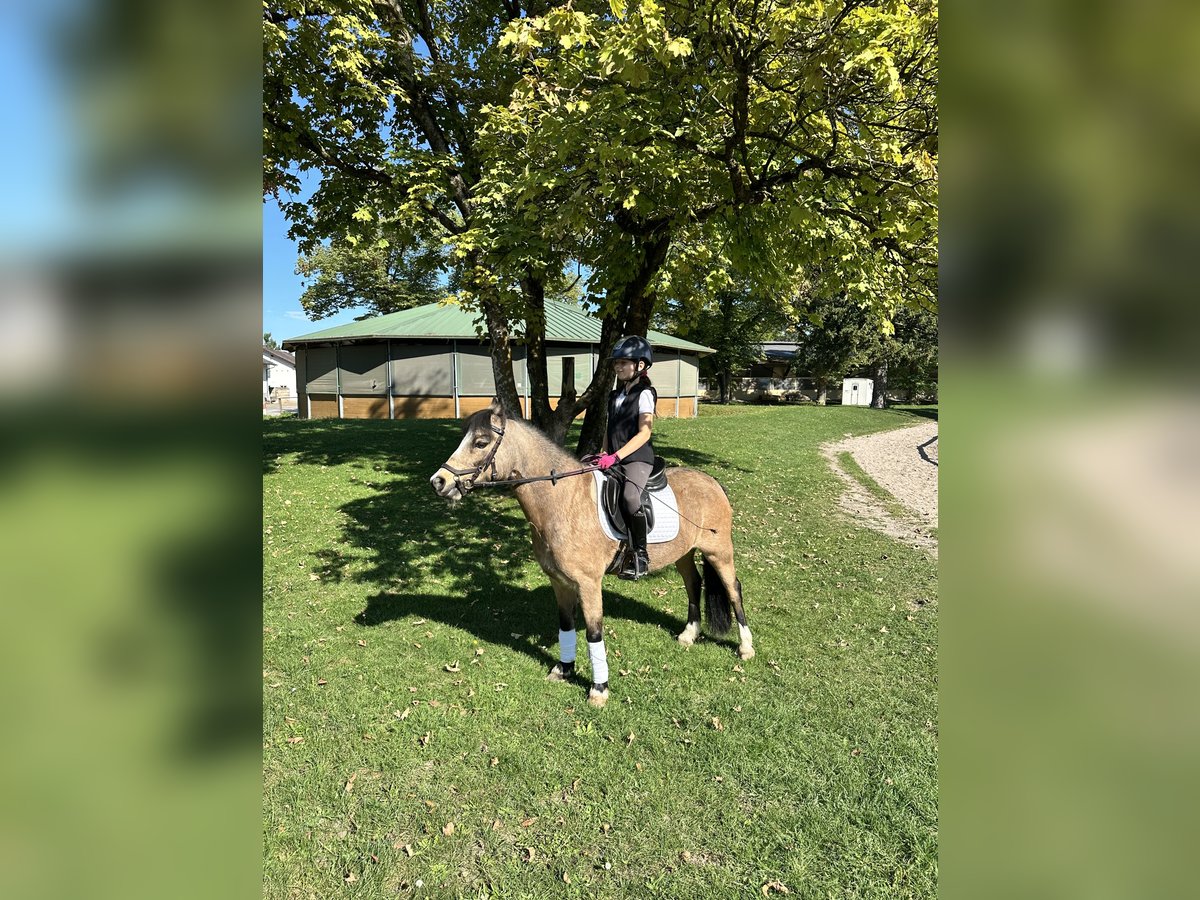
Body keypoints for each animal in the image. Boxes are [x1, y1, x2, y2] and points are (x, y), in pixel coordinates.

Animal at [429, 401, 754, 707]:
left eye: (481, 442)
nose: (439, 482)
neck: (563, 501)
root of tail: (712, 482)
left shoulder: (589, 583)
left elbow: (594, 633)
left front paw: (599, 689)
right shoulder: (560, 582)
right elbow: (566, 625)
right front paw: (564, 669)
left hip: (719, 552)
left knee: (733, 589)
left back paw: (746, 647)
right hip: (684, 553)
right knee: (693, 583)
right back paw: (689, 634)